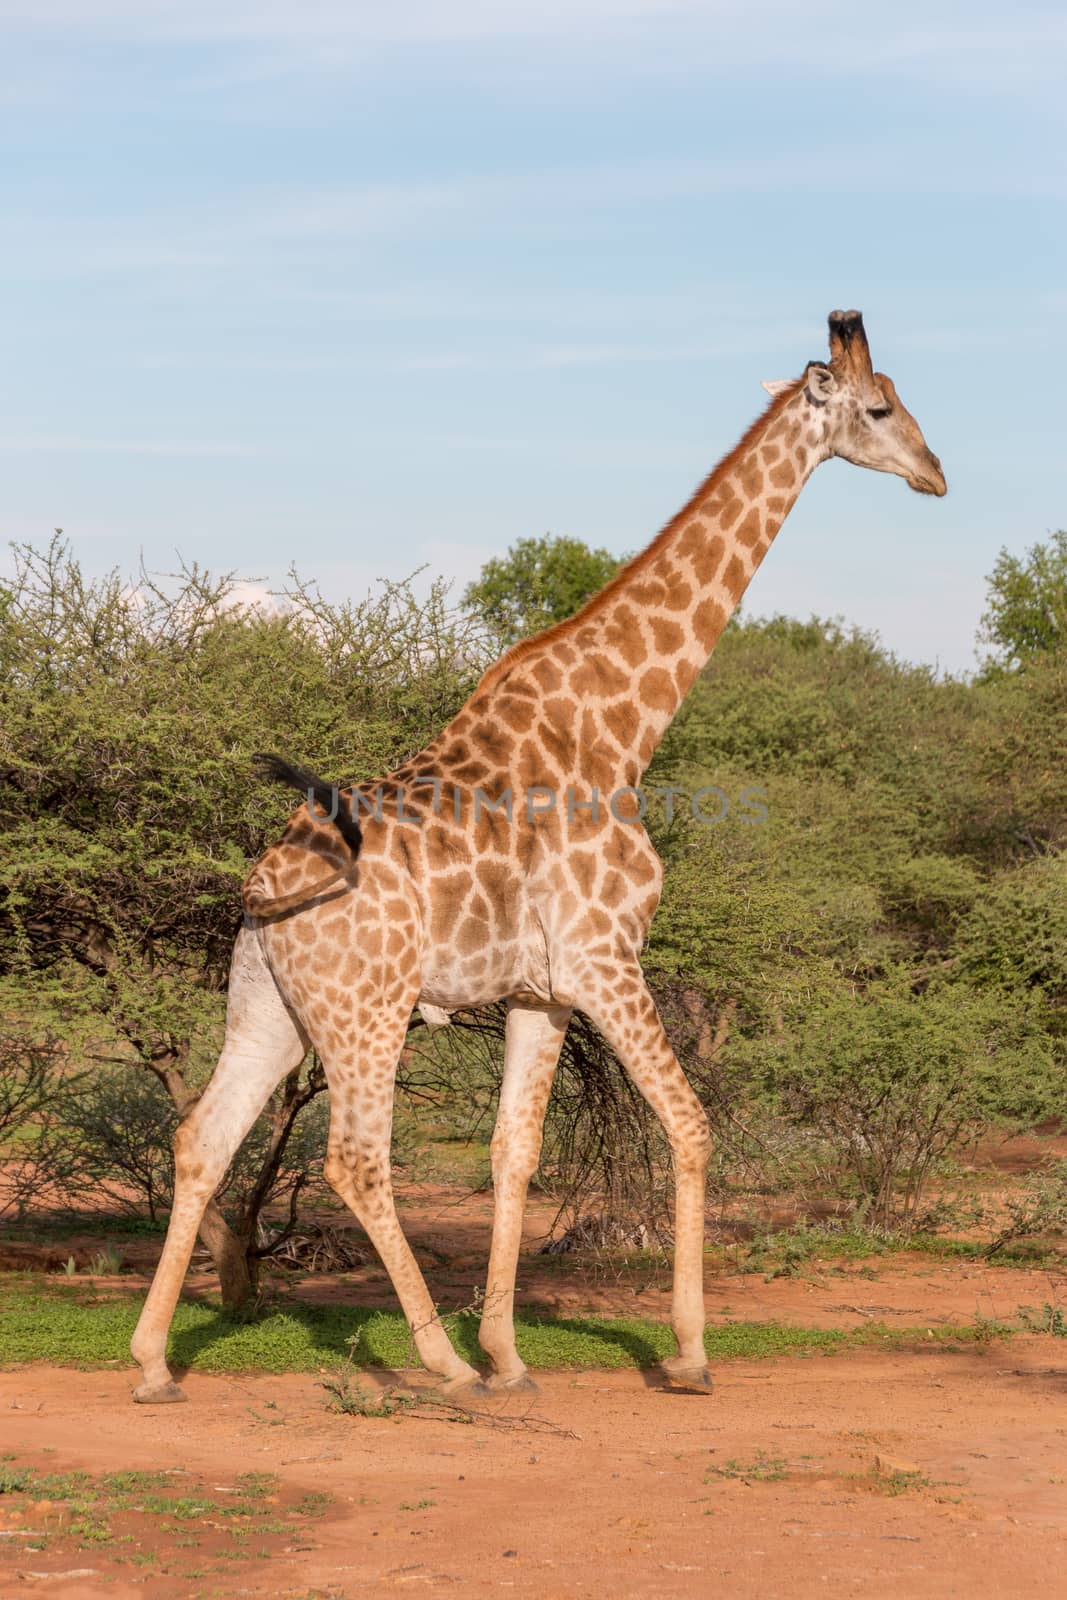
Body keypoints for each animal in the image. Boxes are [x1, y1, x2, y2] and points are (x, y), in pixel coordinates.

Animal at [131, 308, 940, 1401]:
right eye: (879, 408)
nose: (935, 475)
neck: (620, 727)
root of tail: (262, 887)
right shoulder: (607, 957)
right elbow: (689, 1123)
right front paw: (686, 1353)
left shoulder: (539, 989)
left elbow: (512, 1151)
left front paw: (510, 1352)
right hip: (368, 1008)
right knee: (355, 1159)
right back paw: (438, 1363)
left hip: (270, 1009)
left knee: (200, 1140)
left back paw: (152, 1363)